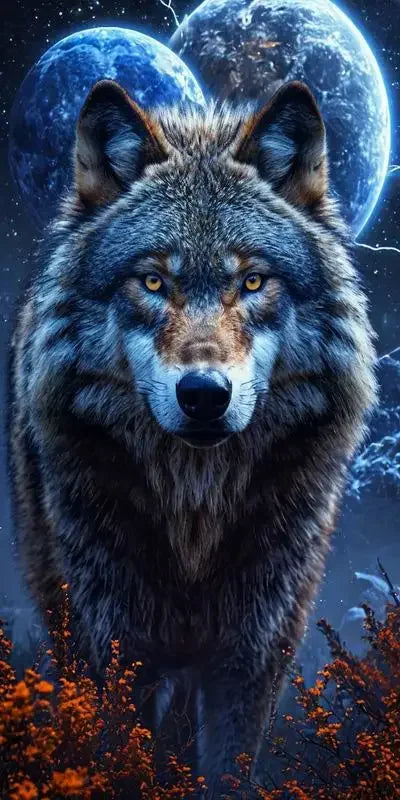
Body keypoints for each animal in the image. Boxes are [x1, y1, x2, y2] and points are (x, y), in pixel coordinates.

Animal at [9, 78, 376, 794]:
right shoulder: (113, 651)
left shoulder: (253, 658)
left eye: (253, 280)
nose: (204, 394)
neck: (194, 518)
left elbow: (227, 769)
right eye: (154, 280)